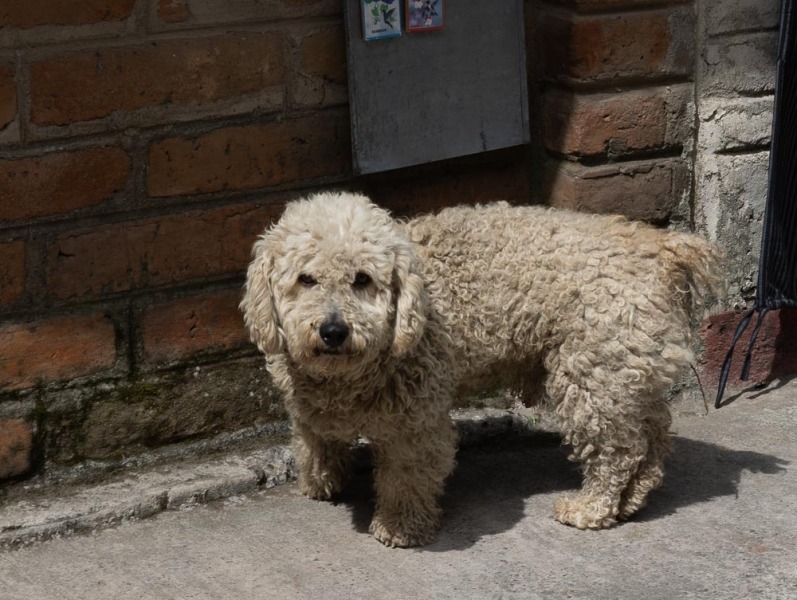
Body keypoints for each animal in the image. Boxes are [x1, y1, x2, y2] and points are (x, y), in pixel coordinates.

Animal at [239, 192, 720, 548]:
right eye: (306, 279)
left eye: (362, 279)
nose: (333, 330)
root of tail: (658, 248)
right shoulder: (309, 405)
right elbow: (314, 438)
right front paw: (322, 479)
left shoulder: (416, 420)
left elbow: (407, 474)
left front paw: (401, 526)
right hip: (625, 370)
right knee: (651, 435)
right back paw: (634, 497)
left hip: (593, 375)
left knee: (616, 451)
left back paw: (591, 507)